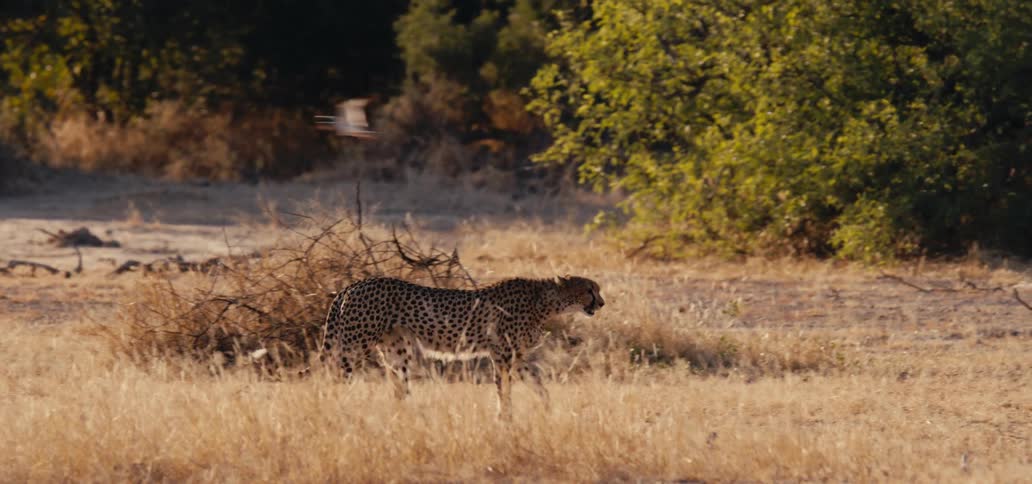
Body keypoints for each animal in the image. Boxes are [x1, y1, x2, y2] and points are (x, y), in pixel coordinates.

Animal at [321, 275, 605, 418]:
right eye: (590, 289)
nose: (602, 303)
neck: (544, 301)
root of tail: (352, 285)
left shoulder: (517, 356)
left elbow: (537, 383)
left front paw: (548, 409)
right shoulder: (502, 354)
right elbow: (503, 389)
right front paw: (504, 418)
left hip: (396, 352)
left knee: (399, 386)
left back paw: (407, 415)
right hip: (353, 346)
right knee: (334, 378)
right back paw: (337, 409)